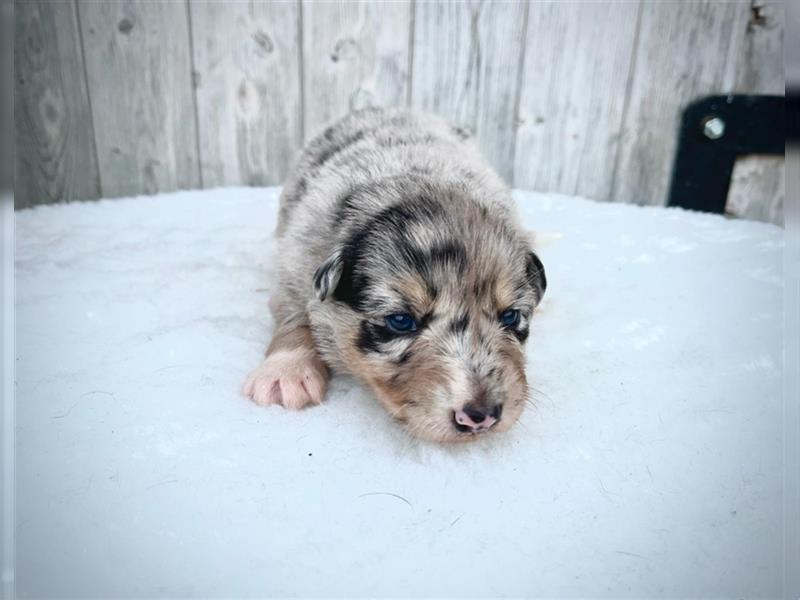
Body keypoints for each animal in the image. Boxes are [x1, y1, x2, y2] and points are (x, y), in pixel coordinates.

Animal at [242, 108, 544, 442]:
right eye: (401, 321)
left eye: (511, 317)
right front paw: (286, 372)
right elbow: (295, 315)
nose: (481, 417)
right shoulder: (295, 264)